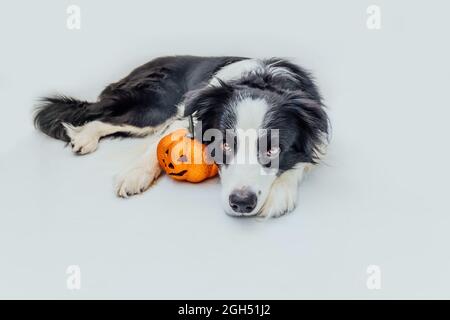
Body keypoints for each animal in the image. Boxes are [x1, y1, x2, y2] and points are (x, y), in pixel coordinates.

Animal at [35, 56, 328, 219]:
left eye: (272, 150)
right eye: (223, 144)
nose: (242, 203)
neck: (263, 80)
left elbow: (303, 160)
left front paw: (279, 193)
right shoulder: (184, 116)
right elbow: (156, 146)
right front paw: (135, 175)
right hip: (154, 107)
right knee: (100, 118)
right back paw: (85, 138)